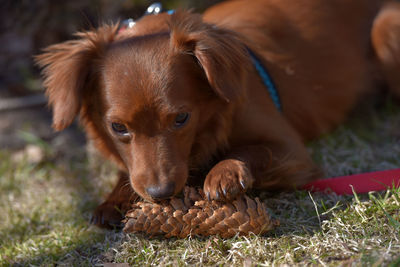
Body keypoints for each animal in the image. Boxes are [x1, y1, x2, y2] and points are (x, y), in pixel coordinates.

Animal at [36, 0, 400, 228]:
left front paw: (224, 173)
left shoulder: (292, 153)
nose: (161, 193)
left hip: (386, 29)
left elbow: (252, 150)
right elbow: (128, 174)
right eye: (117, 127)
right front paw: (114, 199)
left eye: (181, 119)